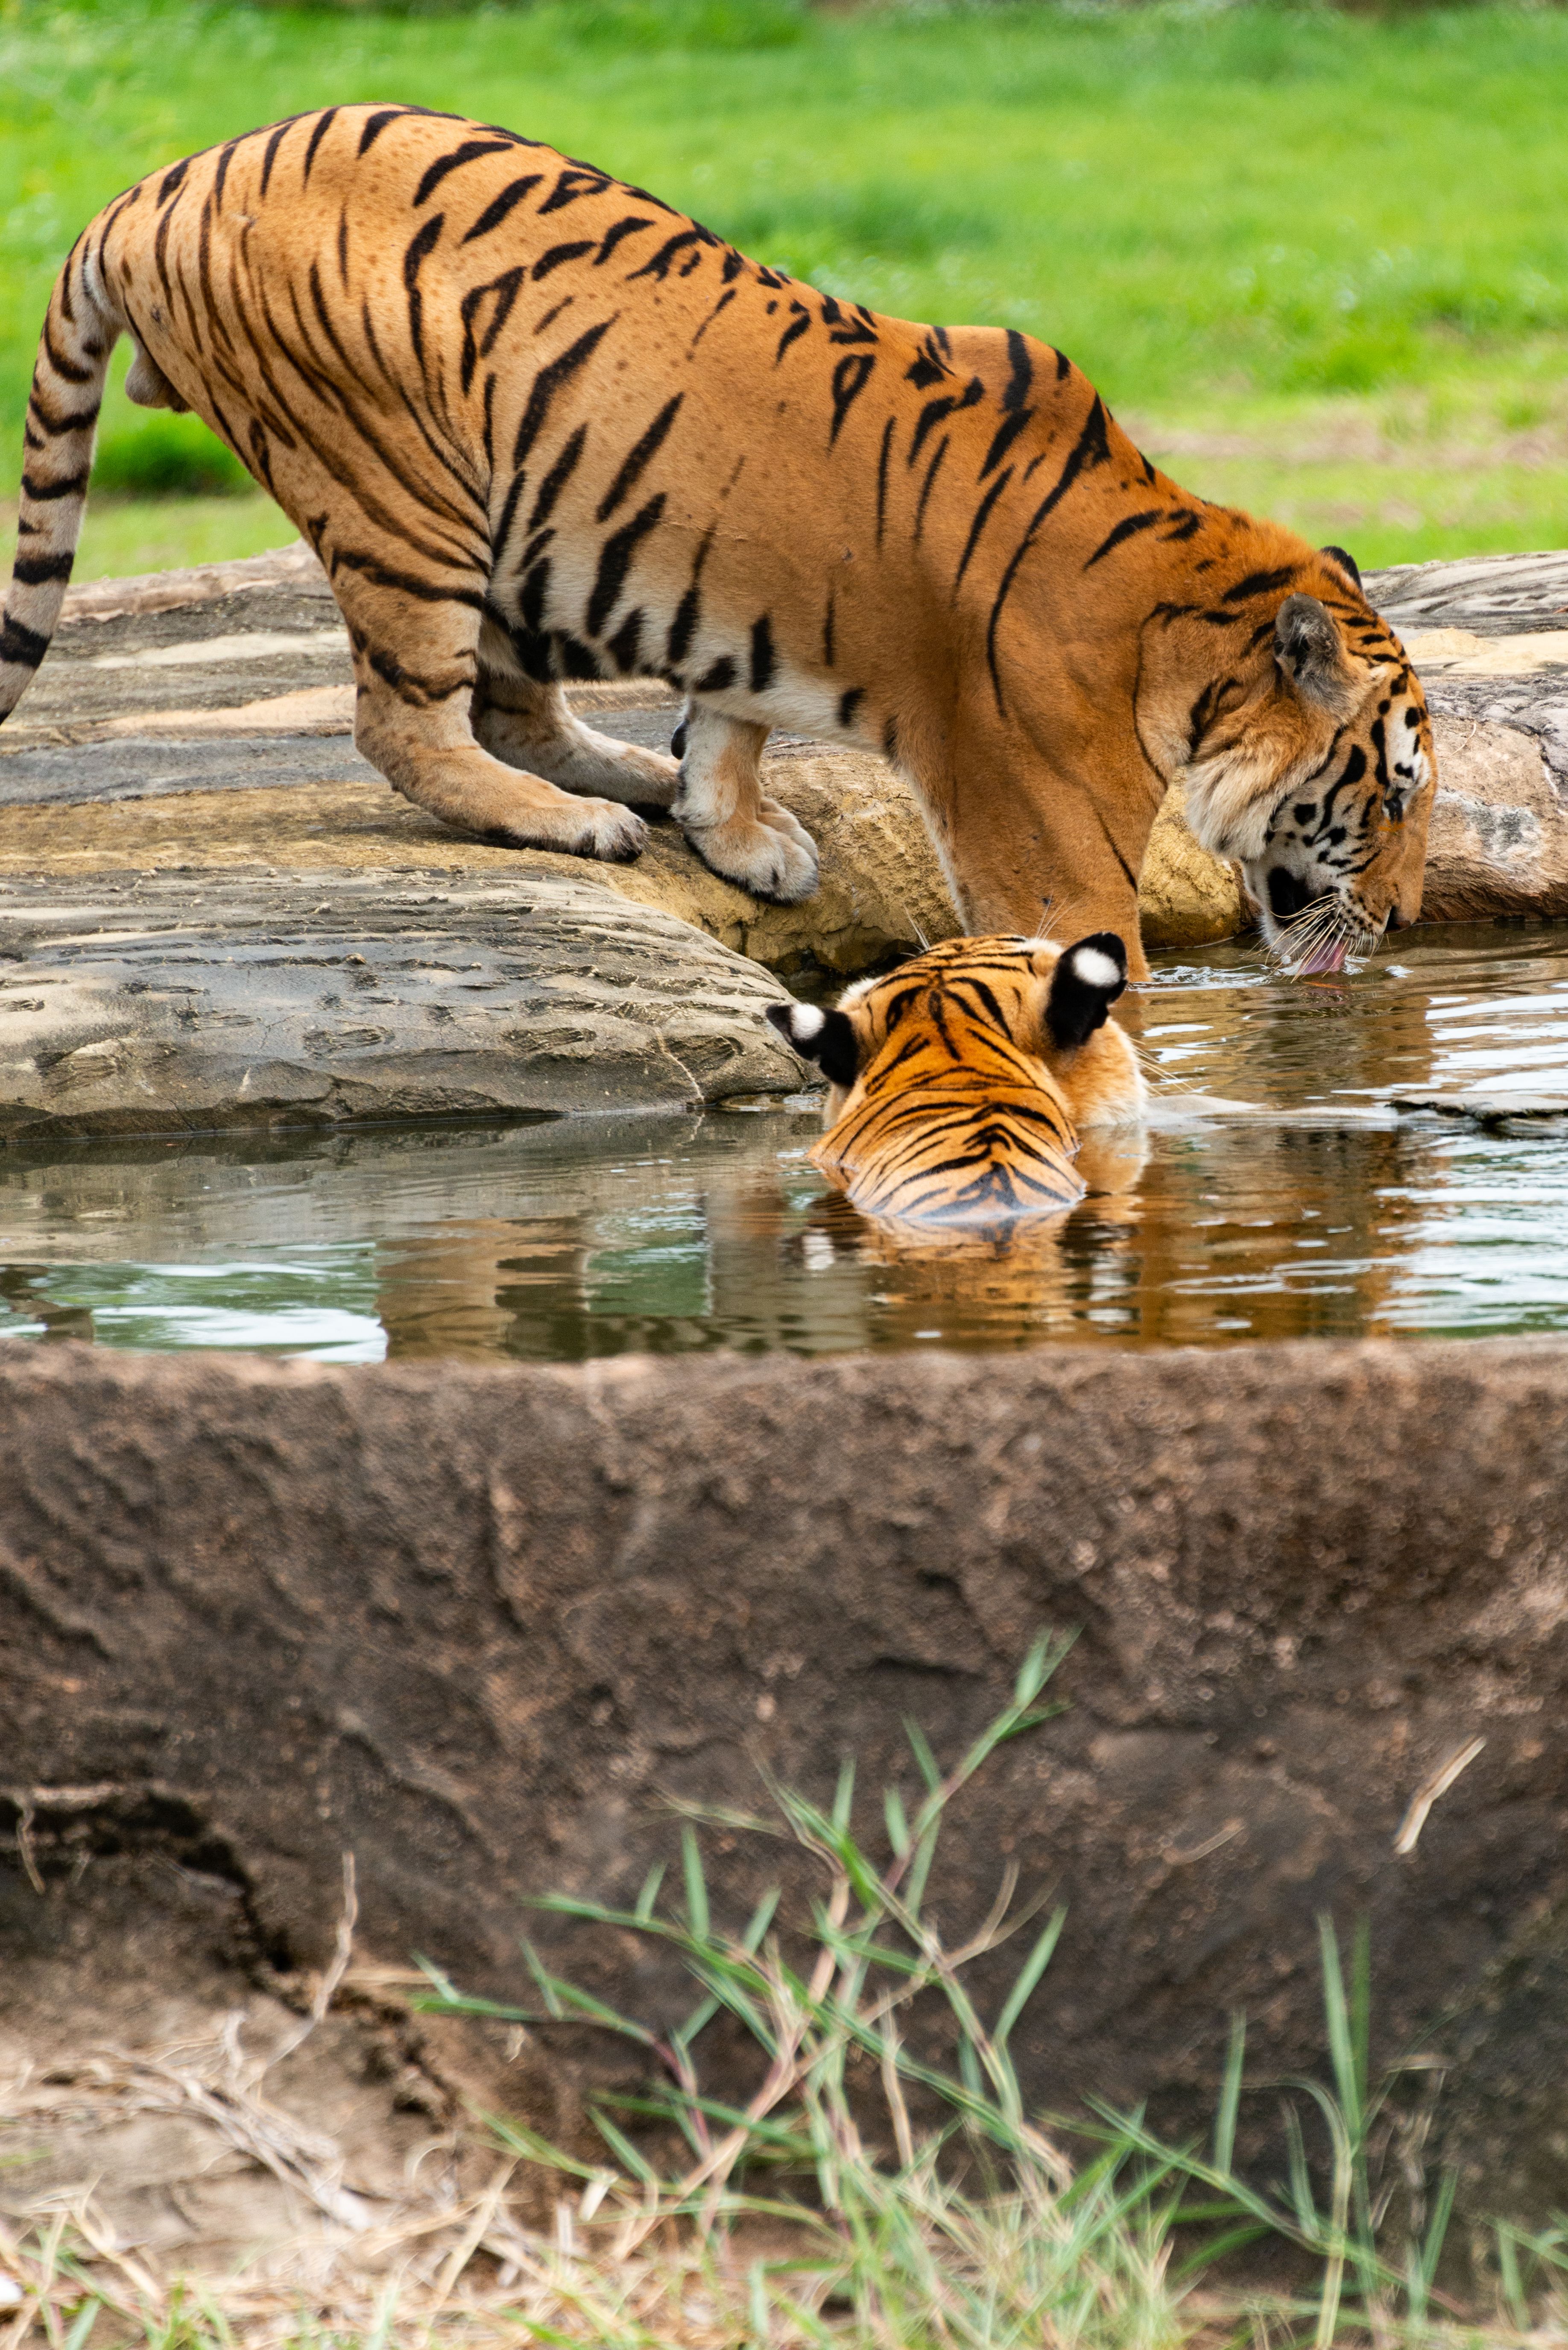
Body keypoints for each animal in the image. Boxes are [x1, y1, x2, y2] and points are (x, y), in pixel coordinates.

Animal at [0, 105, 1435, 980]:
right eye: (1393, 796)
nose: (1412, 916)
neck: (1179, 623)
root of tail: (148, 187)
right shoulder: (1053, 850)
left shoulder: (741, 594)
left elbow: (732, 714)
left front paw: (736, 832)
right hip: (400, 488)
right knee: (405, 724)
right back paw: (572, 824)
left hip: (514, 522)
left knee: (514, 704)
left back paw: (624, 779)